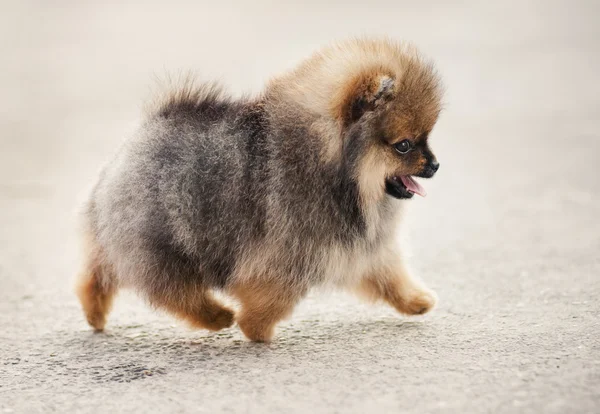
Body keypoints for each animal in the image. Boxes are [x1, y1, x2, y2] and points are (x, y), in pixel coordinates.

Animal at [75, 37, 442, 342]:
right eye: (405, 146)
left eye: (426, 138)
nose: (436, 165)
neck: (336, 168)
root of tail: (143, 133)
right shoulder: (288, 257)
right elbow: (274, 298)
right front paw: (257, 330)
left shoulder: (363, 247)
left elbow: (389, 275)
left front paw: (416, 301)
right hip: (165, 245)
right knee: (174, 292)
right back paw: (218, 316)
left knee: (97, 274)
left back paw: (94, 314)